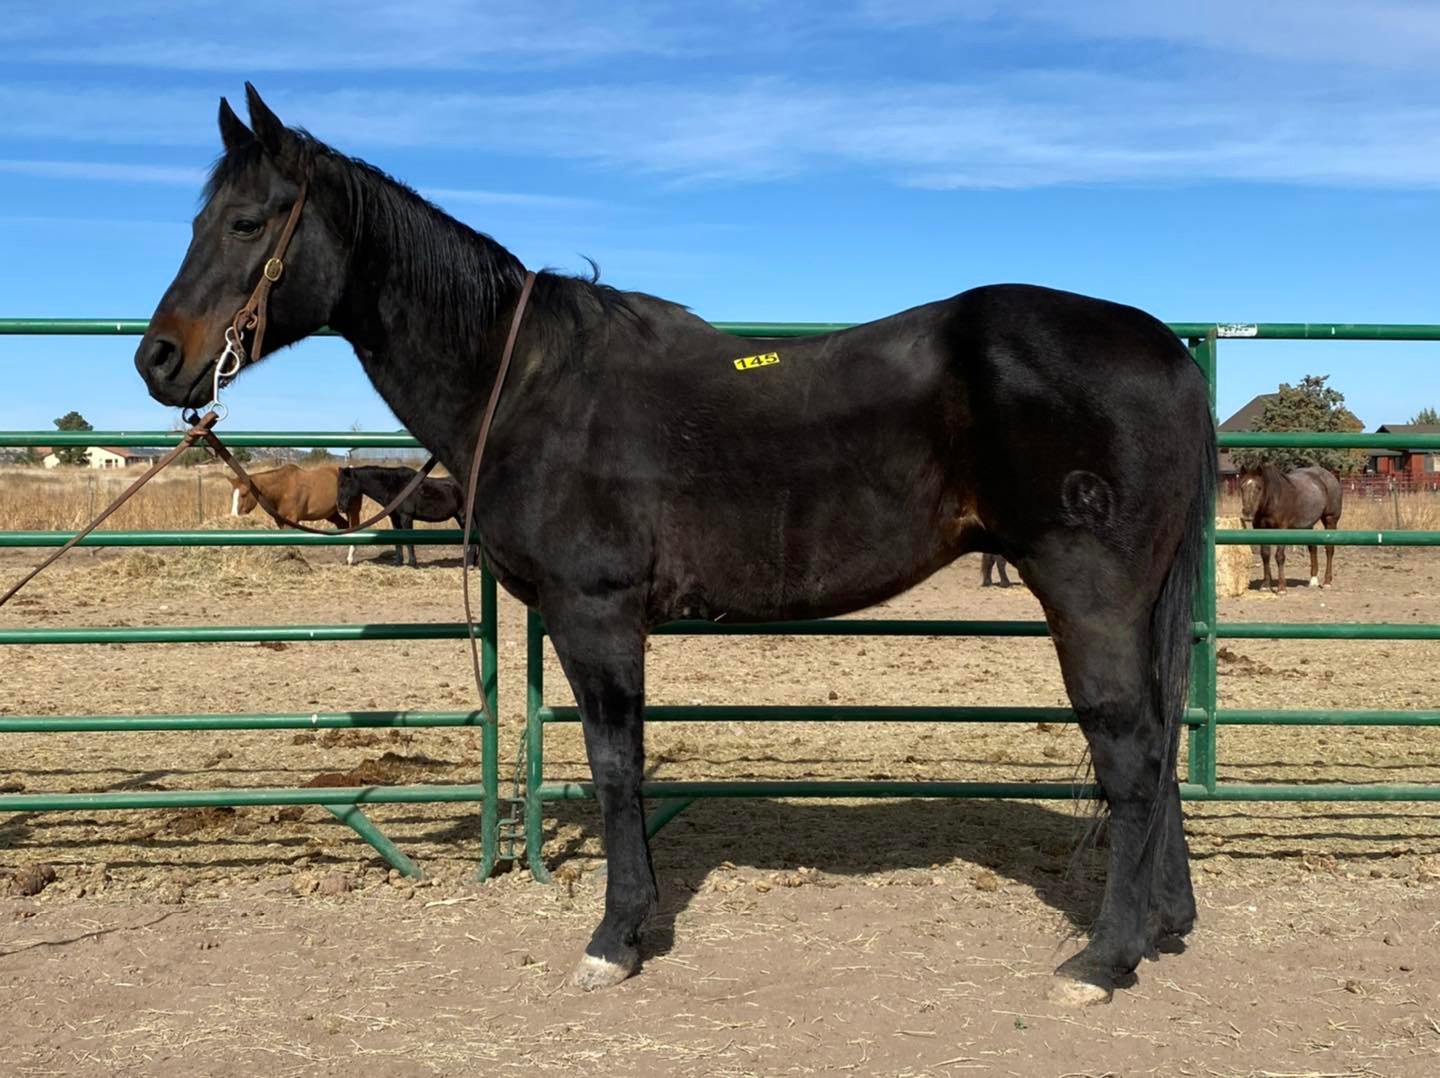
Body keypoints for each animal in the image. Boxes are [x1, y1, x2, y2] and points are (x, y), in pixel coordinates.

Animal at [336, 465, 477, 568]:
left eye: (345, 484)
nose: (340, 507)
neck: (396, 488)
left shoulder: (406, 518)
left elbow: (409, 540)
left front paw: (412, 563)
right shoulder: (395, 519)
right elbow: (397, 541)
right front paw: (398, 562)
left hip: (464, 517)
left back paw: (470, 564)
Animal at [1238, 463, 1342, 592]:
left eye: (1259, 487)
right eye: (1242, 487)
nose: (1247, 513)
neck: (1273, 499)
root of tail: (1331, 476)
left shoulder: (1282, 529)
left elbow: (1279, 556)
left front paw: (1282, 587)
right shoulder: (1261, 529)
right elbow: (1265, 555)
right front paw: (1265, 585)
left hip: (1330, 520)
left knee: (1329, 549)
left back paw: (1327, 582)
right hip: (1307, 525)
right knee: (1312, 548)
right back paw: (1313, 580)